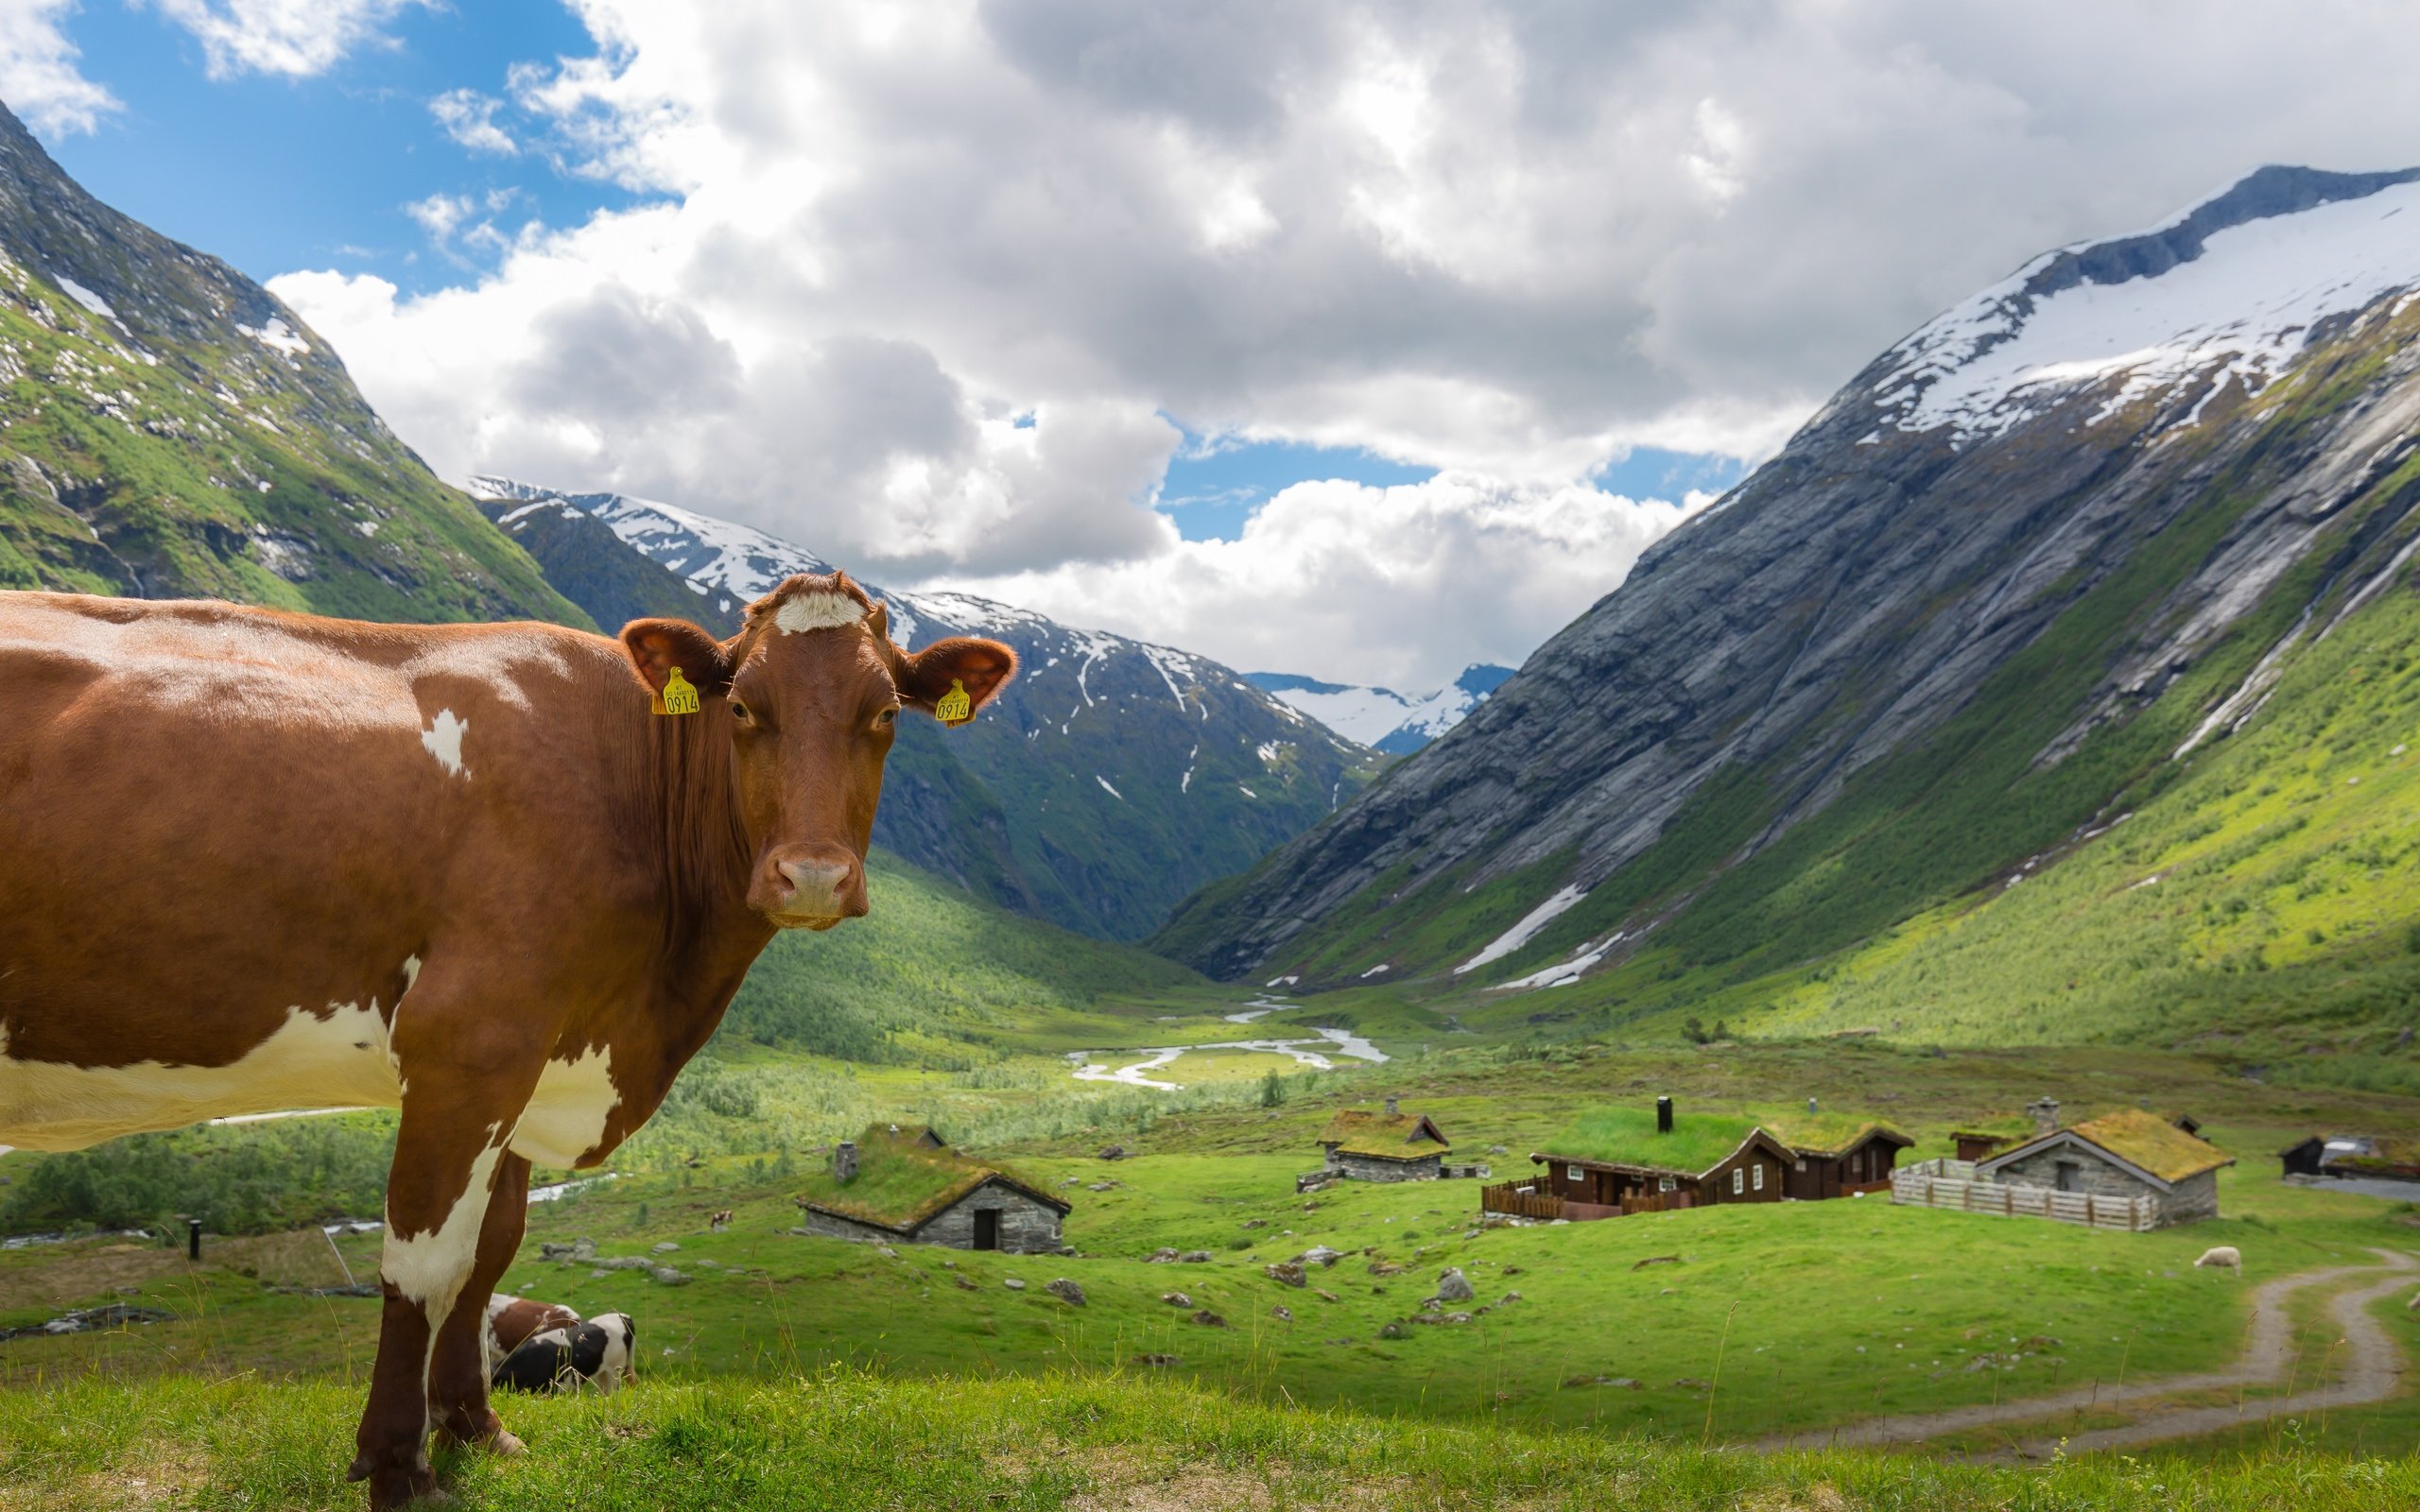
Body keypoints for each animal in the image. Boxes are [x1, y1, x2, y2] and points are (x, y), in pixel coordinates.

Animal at [0, 571, 1011, 1500]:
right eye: (743, 708)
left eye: (884, 713)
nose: (810, 877)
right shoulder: (469, 1039)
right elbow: (425, 1265)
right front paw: (397, 1465)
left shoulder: (534, 1056)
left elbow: (493, 1252)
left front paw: (474, 1429)